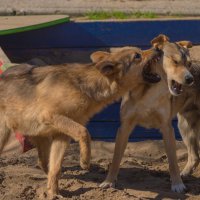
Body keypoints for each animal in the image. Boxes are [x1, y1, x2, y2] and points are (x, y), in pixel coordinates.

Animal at [0, 47, 161, 197]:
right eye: (137, 55)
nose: (157, 48)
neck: (84, 86)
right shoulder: (51, 116)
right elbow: (84, 132)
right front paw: (85, 160)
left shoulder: (62, 135)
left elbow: (56, 168)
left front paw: (54, 193)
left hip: (42, 138)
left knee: (43, 163)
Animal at [100, 34, 194, 194]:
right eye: (175, 61)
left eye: (189, 64)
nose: (191, 79)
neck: (153, 88)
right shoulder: (124, 127)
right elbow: (116, 158)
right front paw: (109, 181)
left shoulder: (167, 128)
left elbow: (173, 161)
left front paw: (177, 184)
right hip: (185, 125)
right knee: (194, 155)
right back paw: (186, 172)